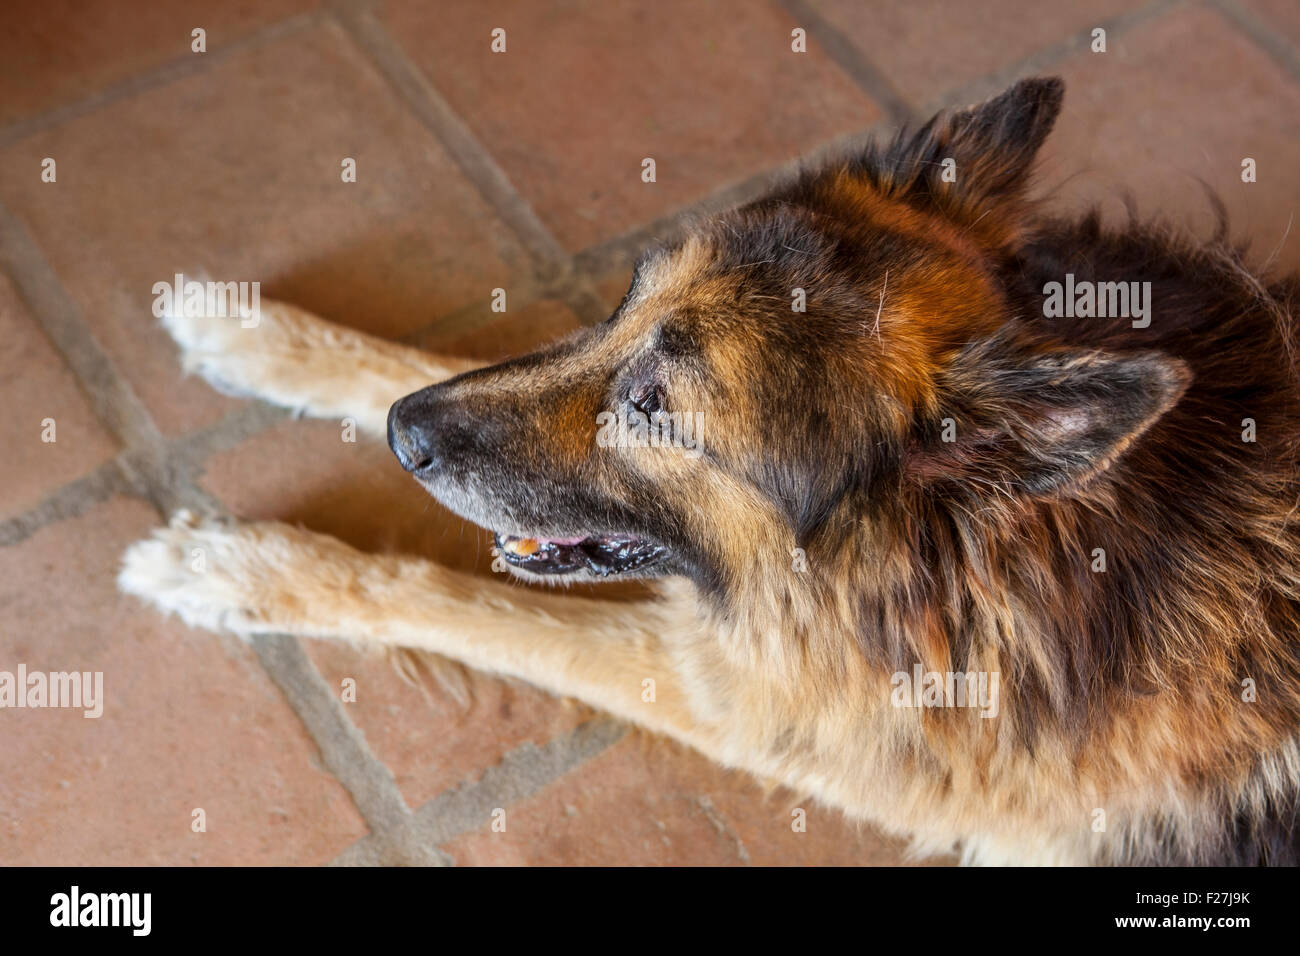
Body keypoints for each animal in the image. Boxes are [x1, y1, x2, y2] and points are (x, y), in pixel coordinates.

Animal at [119, 78, 1300, 863]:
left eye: (656, 411)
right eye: (623, 301)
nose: (405, 438)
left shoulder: (745, 696)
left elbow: (457, 601)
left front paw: (239, 569)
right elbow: (415, 363)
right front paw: (257, 336)